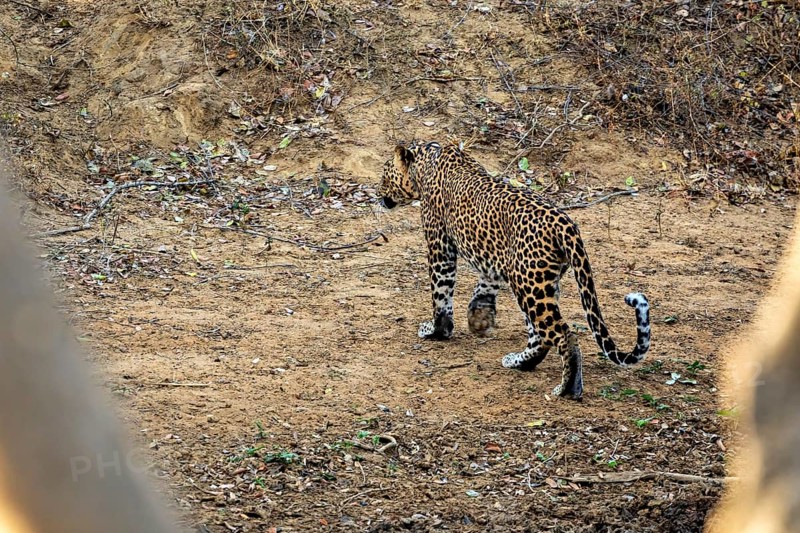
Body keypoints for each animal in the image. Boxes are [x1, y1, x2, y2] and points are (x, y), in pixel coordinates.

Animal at [378, 140, 651, 399]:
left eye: (384, 174)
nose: (377, 193)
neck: (426, 161)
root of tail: (566, 223)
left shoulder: (440, 246)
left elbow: (440, 293)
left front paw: (436, 330)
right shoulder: (493, 257)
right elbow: (485, 285)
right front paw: (479, 319)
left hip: (530, 287)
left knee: (563, 334)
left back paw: (567, 388)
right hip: (536, 281)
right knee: (540, 336)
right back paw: (519, 362)